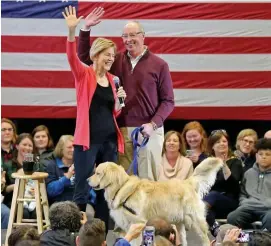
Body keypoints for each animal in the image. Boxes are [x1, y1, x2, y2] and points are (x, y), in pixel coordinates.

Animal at [90, 157, 224, 245]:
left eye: (97, 173)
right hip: (180, 223)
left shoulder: (138, 223)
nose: (87, 180)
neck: (121, 187)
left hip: (196, 221)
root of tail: (188, 182)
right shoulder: (128, 226)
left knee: (205, 238)